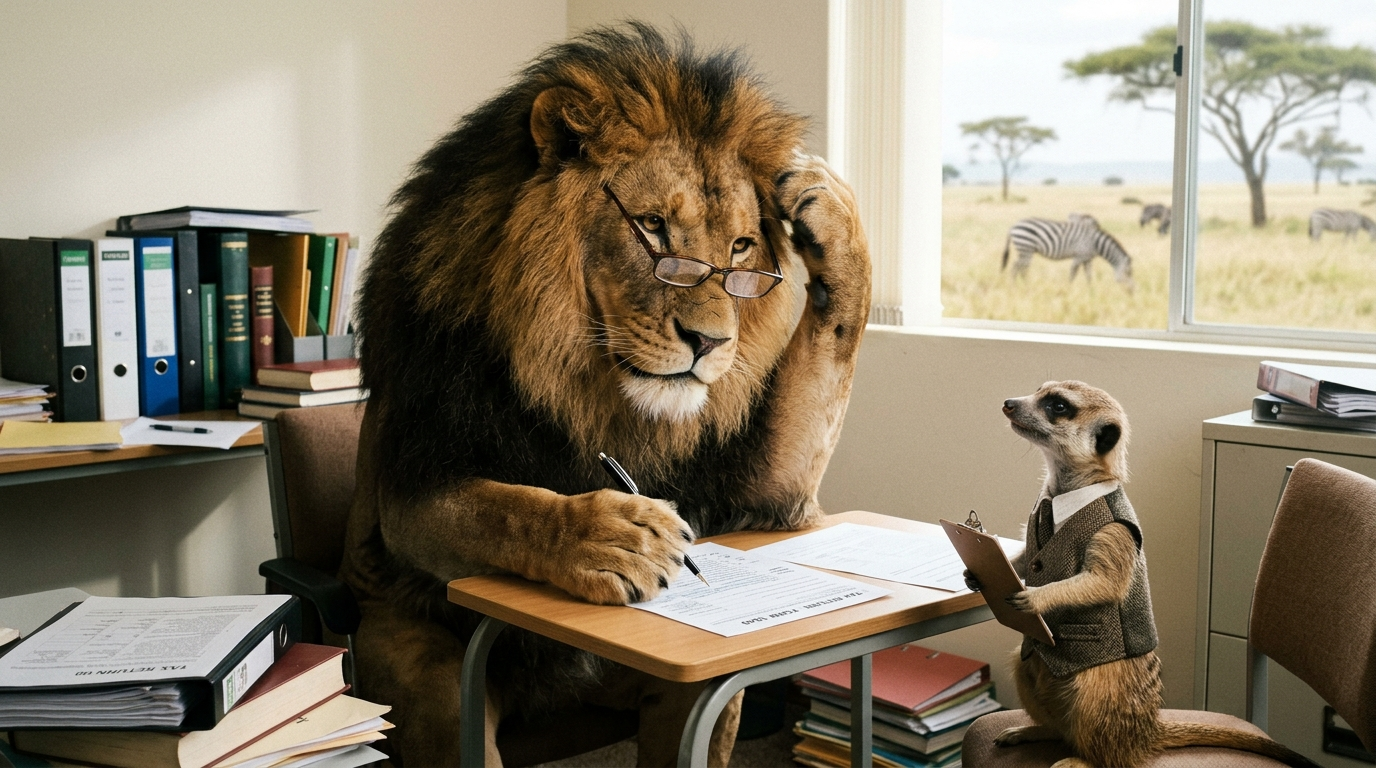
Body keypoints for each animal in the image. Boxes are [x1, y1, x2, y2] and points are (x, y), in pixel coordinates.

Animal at [338, 23, 872, 766]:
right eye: (651, 227)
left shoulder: (763, 495)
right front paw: (614, 536)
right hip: (424, 676)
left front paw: (829, 202)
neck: (592, 386)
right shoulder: (413, 486)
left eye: (740, 248)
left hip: (690, 690)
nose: (710, 343)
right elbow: (503, 507)